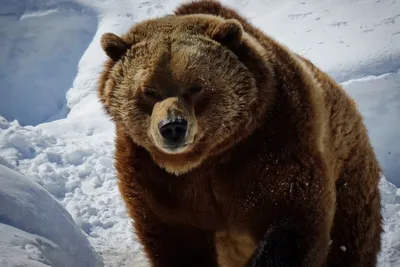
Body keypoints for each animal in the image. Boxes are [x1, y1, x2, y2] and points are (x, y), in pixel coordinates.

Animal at [96, 0, 382, 267]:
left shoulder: (270, 142)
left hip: (349, 173)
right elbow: (174, 239)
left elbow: (292, 215)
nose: (173, 127)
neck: (204, 159)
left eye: (196, 86)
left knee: (350, 239)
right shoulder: (153, 175)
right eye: (149, 90)